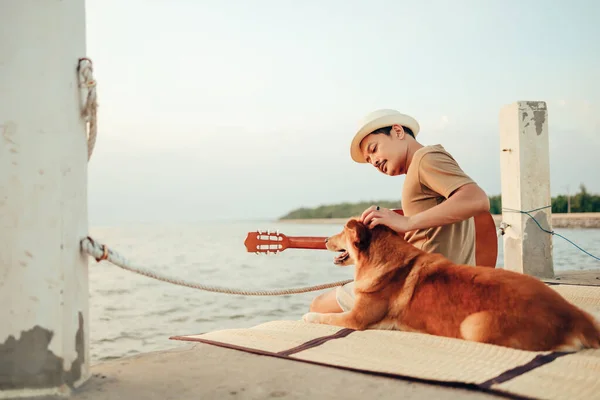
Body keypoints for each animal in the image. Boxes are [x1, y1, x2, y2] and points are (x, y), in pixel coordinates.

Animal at [304, 217, 600, 352]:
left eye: (341, 231)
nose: (324, 240)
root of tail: (575, 316)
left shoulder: (356, 318)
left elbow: (324, 317)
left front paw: (309, 316)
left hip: (475, 325)